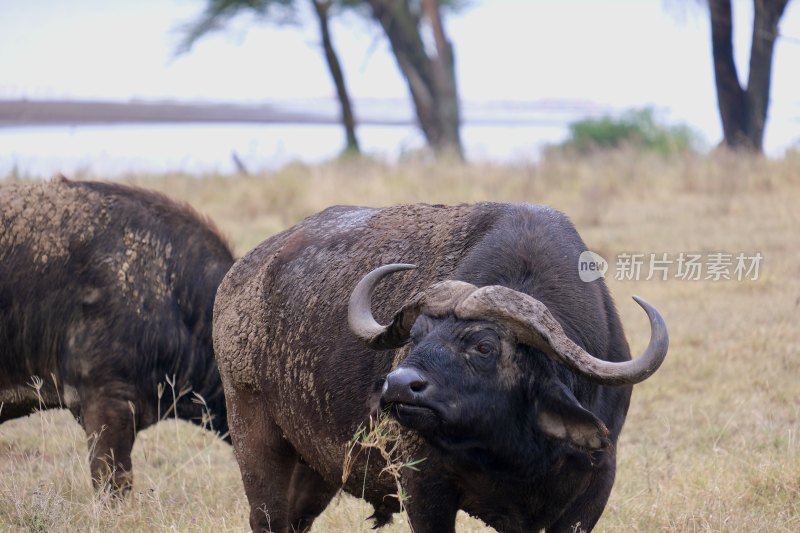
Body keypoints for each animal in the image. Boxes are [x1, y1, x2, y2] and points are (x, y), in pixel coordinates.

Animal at [214, 202, 668, 528]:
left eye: (484, 346)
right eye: (416, 336)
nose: (399, 385)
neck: (511, 446)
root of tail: (241, 274)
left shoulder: (594, 486)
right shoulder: (423, 487)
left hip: (316, 469)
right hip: (253, 436)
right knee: (268, 518)